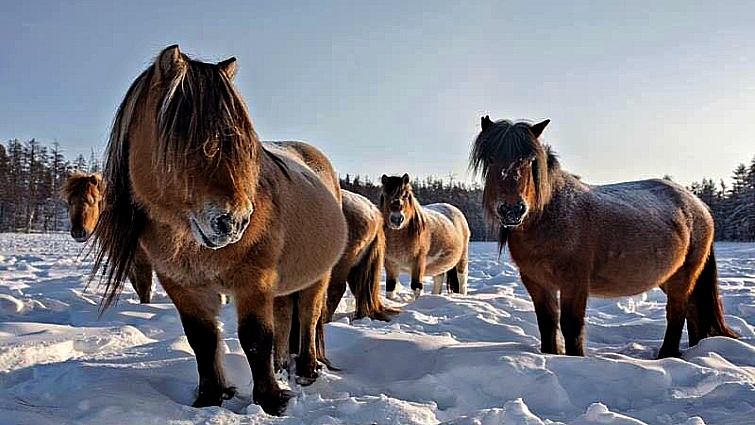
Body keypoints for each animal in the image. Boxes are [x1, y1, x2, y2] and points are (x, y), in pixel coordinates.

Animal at [91, 46, 348, 414]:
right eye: (183, 141)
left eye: (242, 144)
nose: (233, 222)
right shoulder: (182, 286)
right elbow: (202, 339)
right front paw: (210, 397)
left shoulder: (255, 281)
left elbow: (255, 339)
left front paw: (270, 401)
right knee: (286, 318)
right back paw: (282, 367)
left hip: (317, 277)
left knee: (310, 319)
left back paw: (306, 371)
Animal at [472, 116, 740, 358]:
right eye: (491, 159)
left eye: (530, 161)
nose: (512, 210)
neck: (551, 216)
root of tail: (699, 205)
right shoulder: (536, 282)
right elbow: (547, 325)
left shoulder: (575, 282)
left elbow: (572, 327)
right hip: (671, 276)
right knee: (694, 311)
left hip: (683, 276)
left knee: (678, 312)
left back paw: (667, 356)